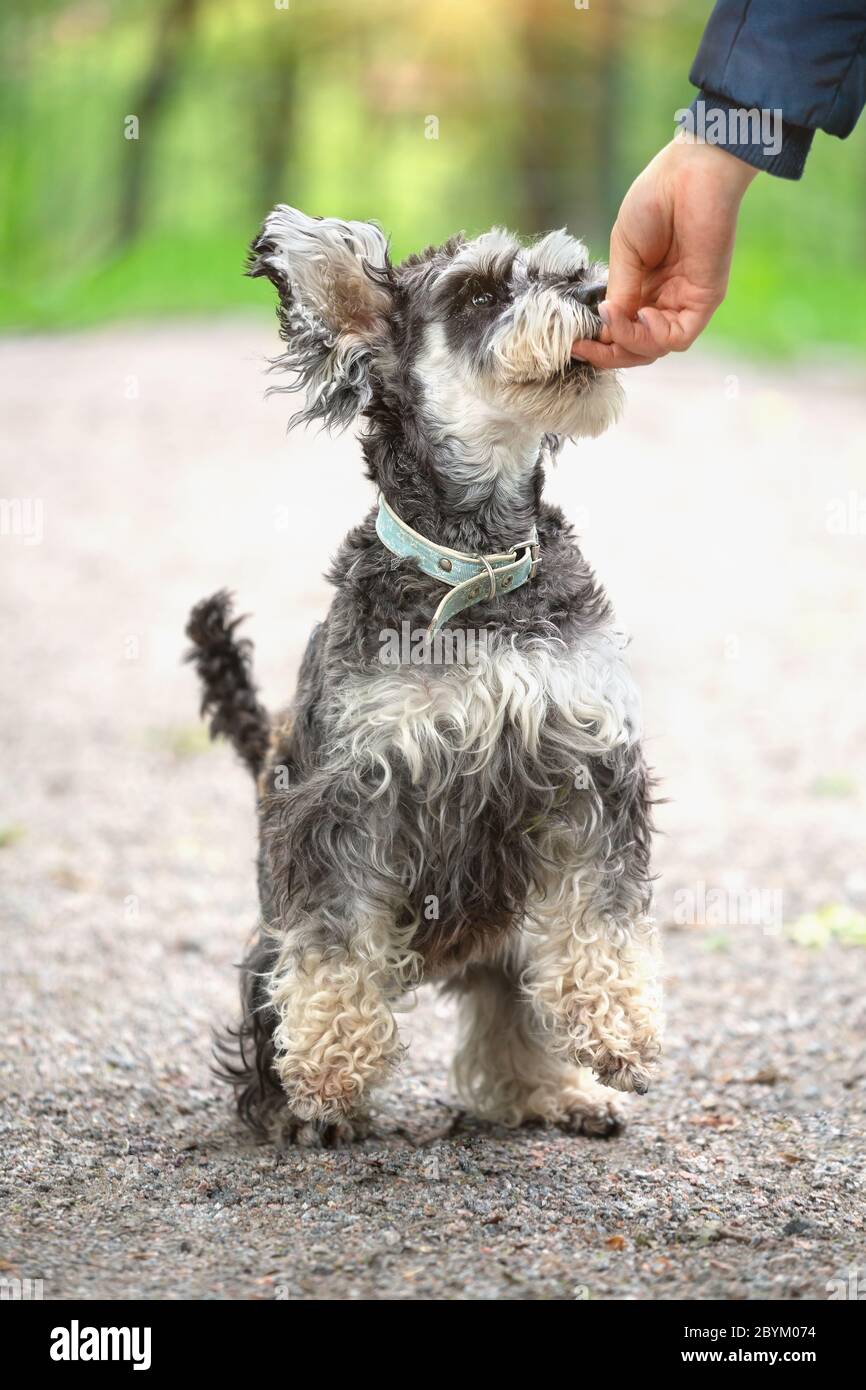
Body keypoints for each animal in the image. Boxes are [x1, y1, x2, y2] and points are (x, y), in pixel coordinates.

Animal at [187, 202, 664, 1139]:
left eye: (569, 269)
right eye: (479, 293)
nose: (597, 295)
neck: (474, 565)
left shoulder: (588, 766)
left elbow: (601, 915)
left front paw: (619, 1030)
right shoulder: (347, 796)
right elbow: (335, 949)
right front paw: (330, 1074)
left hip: (513, 934)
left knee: (514, 1013)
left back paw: (559, 1091)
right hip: (265, 947)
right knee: (270, 1020)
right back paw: (289, 1109)